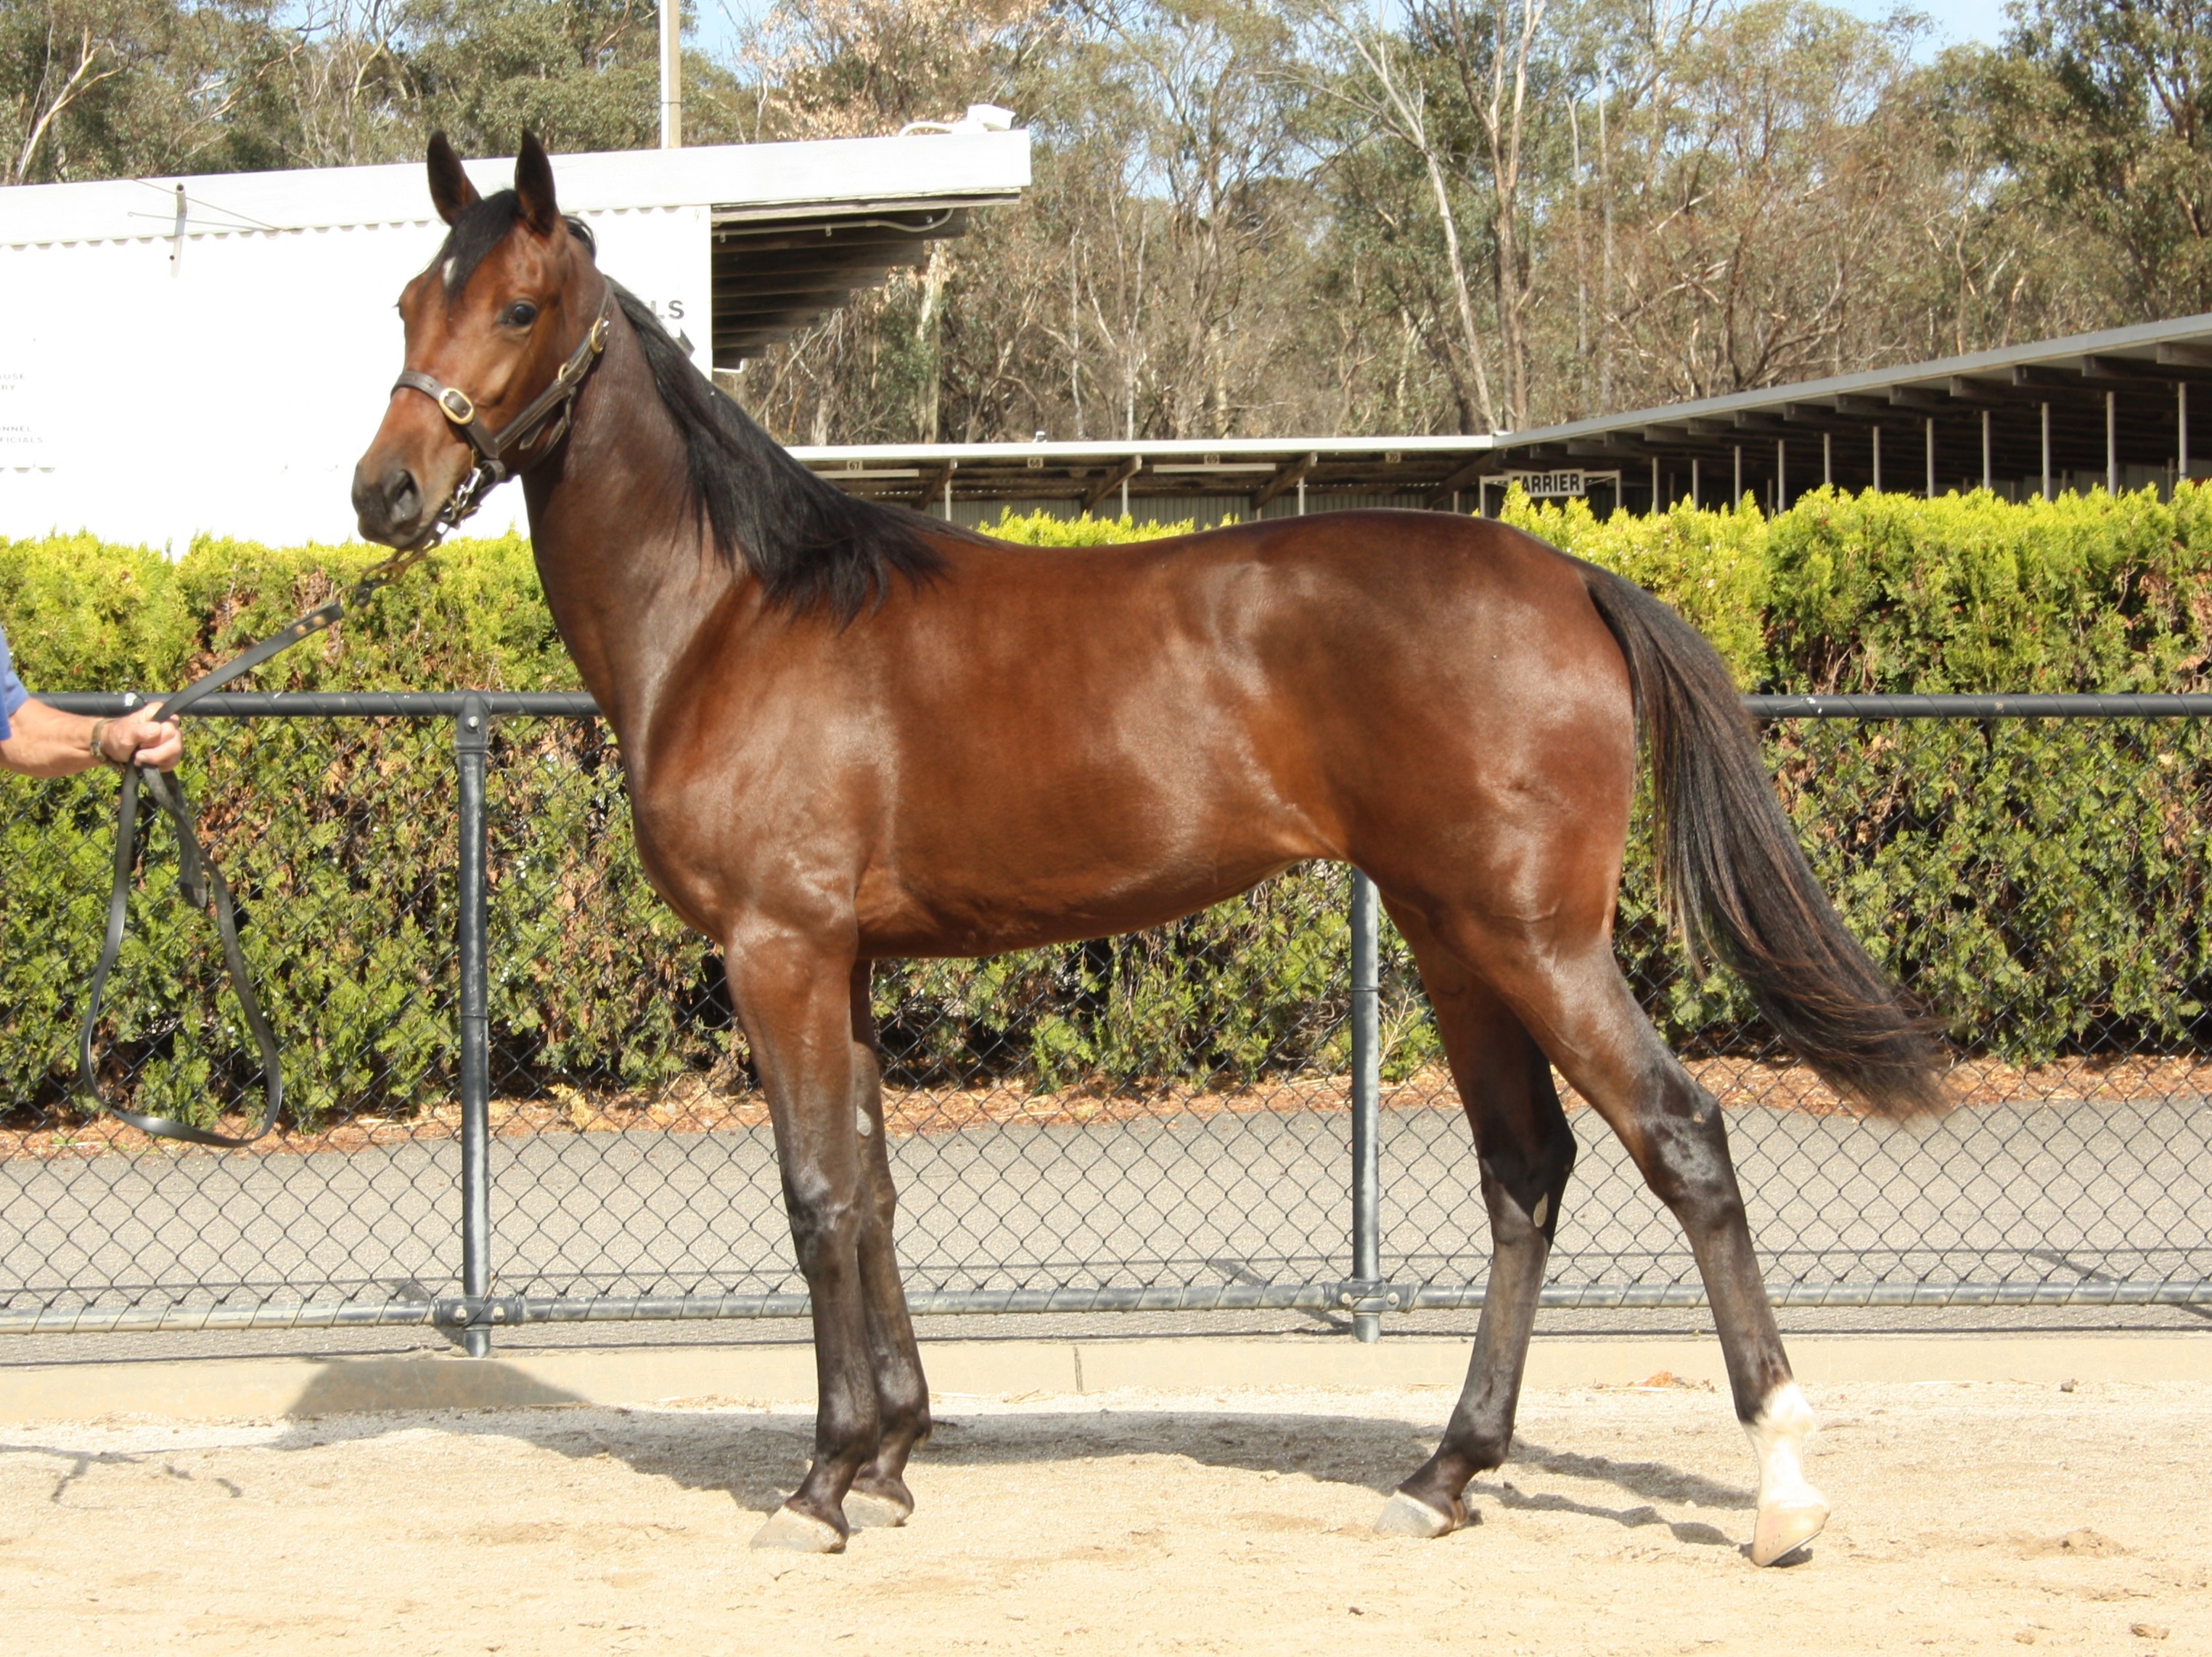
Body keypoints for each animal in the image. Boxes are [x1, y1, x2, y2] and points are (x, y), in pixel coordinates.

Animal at [351, 135, 1943, 1565]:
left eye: (519, 306)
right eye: (408, 301)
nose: (385, 491)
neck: (739, 613)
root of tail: (1570, 574)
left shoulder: (778, 950)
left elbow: (814, 1199)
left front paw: (819, 1483)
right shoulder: (843, 962)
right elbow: (872, 1192)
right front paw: (891, 1455)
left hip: (1534, 939)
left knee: (1681, 1137)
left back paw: (1780, 1489)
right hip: (1454, 936)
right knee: (1526, 1168)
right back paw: (1444, 1471)